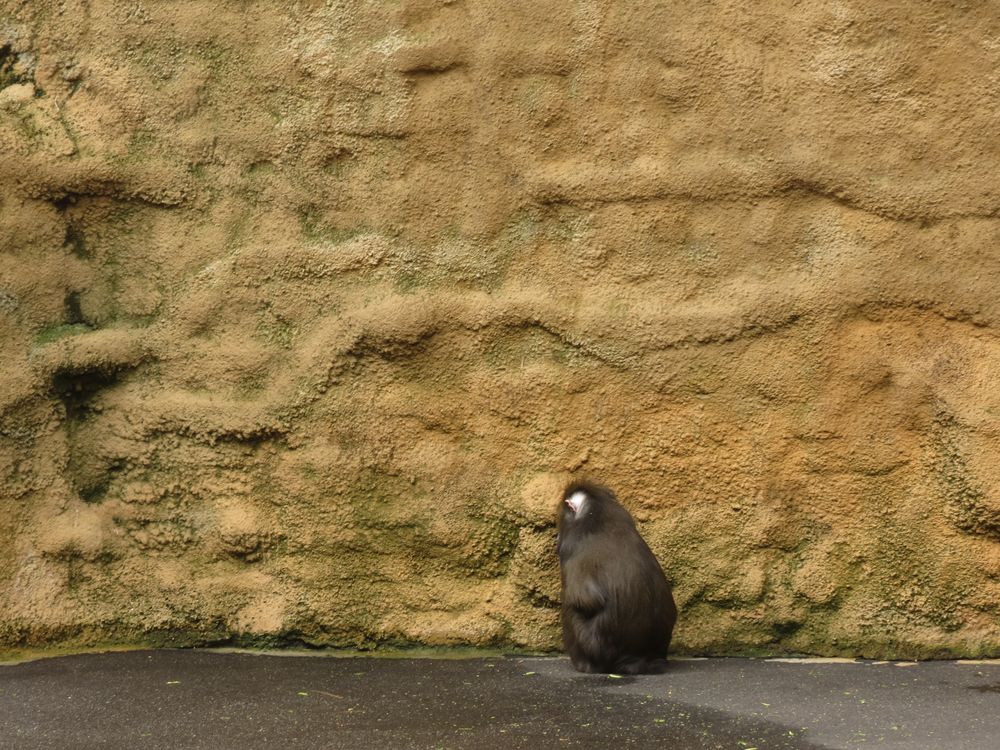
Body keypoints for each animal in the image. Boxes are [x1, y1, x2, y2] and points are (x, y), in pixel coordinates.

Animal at [560, 482, 676, 676]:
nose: (557, 537)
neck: (600, 520)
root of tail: (638, 659)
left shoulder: (576, 555)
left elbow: (586, 599)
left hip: (591, 648)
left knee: (570, 609)